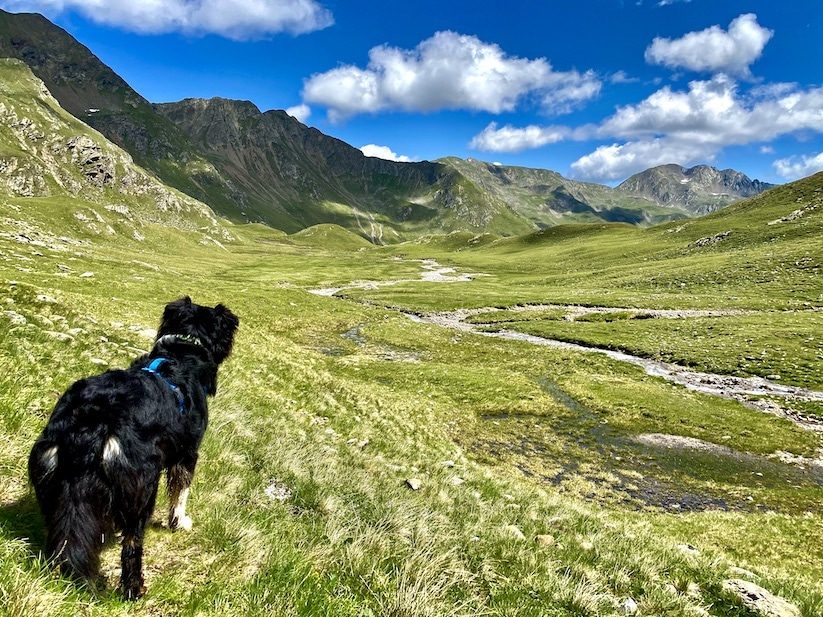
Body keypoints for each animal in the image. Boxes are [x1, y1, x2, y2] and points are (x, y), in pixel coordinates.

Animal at [26, 298, 238, 596]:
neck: (184, 350)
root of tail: (92, 421)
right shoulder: (187, 454)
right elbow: (180, 493)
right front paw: (179, 523)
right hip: (142, 486)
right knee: (132, 545)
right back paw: (133, 590)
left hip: (49, 477)